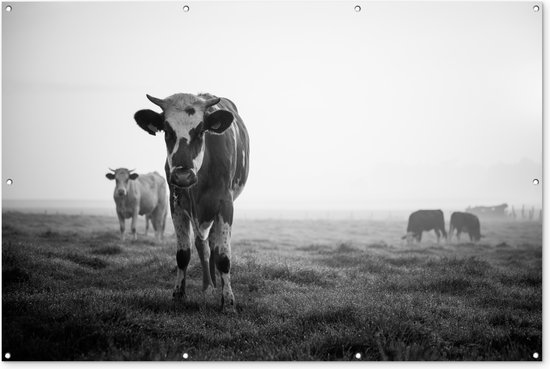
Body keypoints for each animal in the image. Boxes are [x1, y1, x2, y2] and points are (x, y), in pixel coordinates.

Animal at [135, 92, 251, 310]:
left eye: (200, 131)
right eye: (167, 131)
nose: (183, 176)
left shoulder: (225, 204)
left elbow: (223, 256)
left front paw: (228, 301)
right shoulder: (177, 204)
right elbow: (183, 255)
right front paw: (178, 295)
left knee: (214, 247)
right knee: (203, 246)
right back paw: (208, 286)